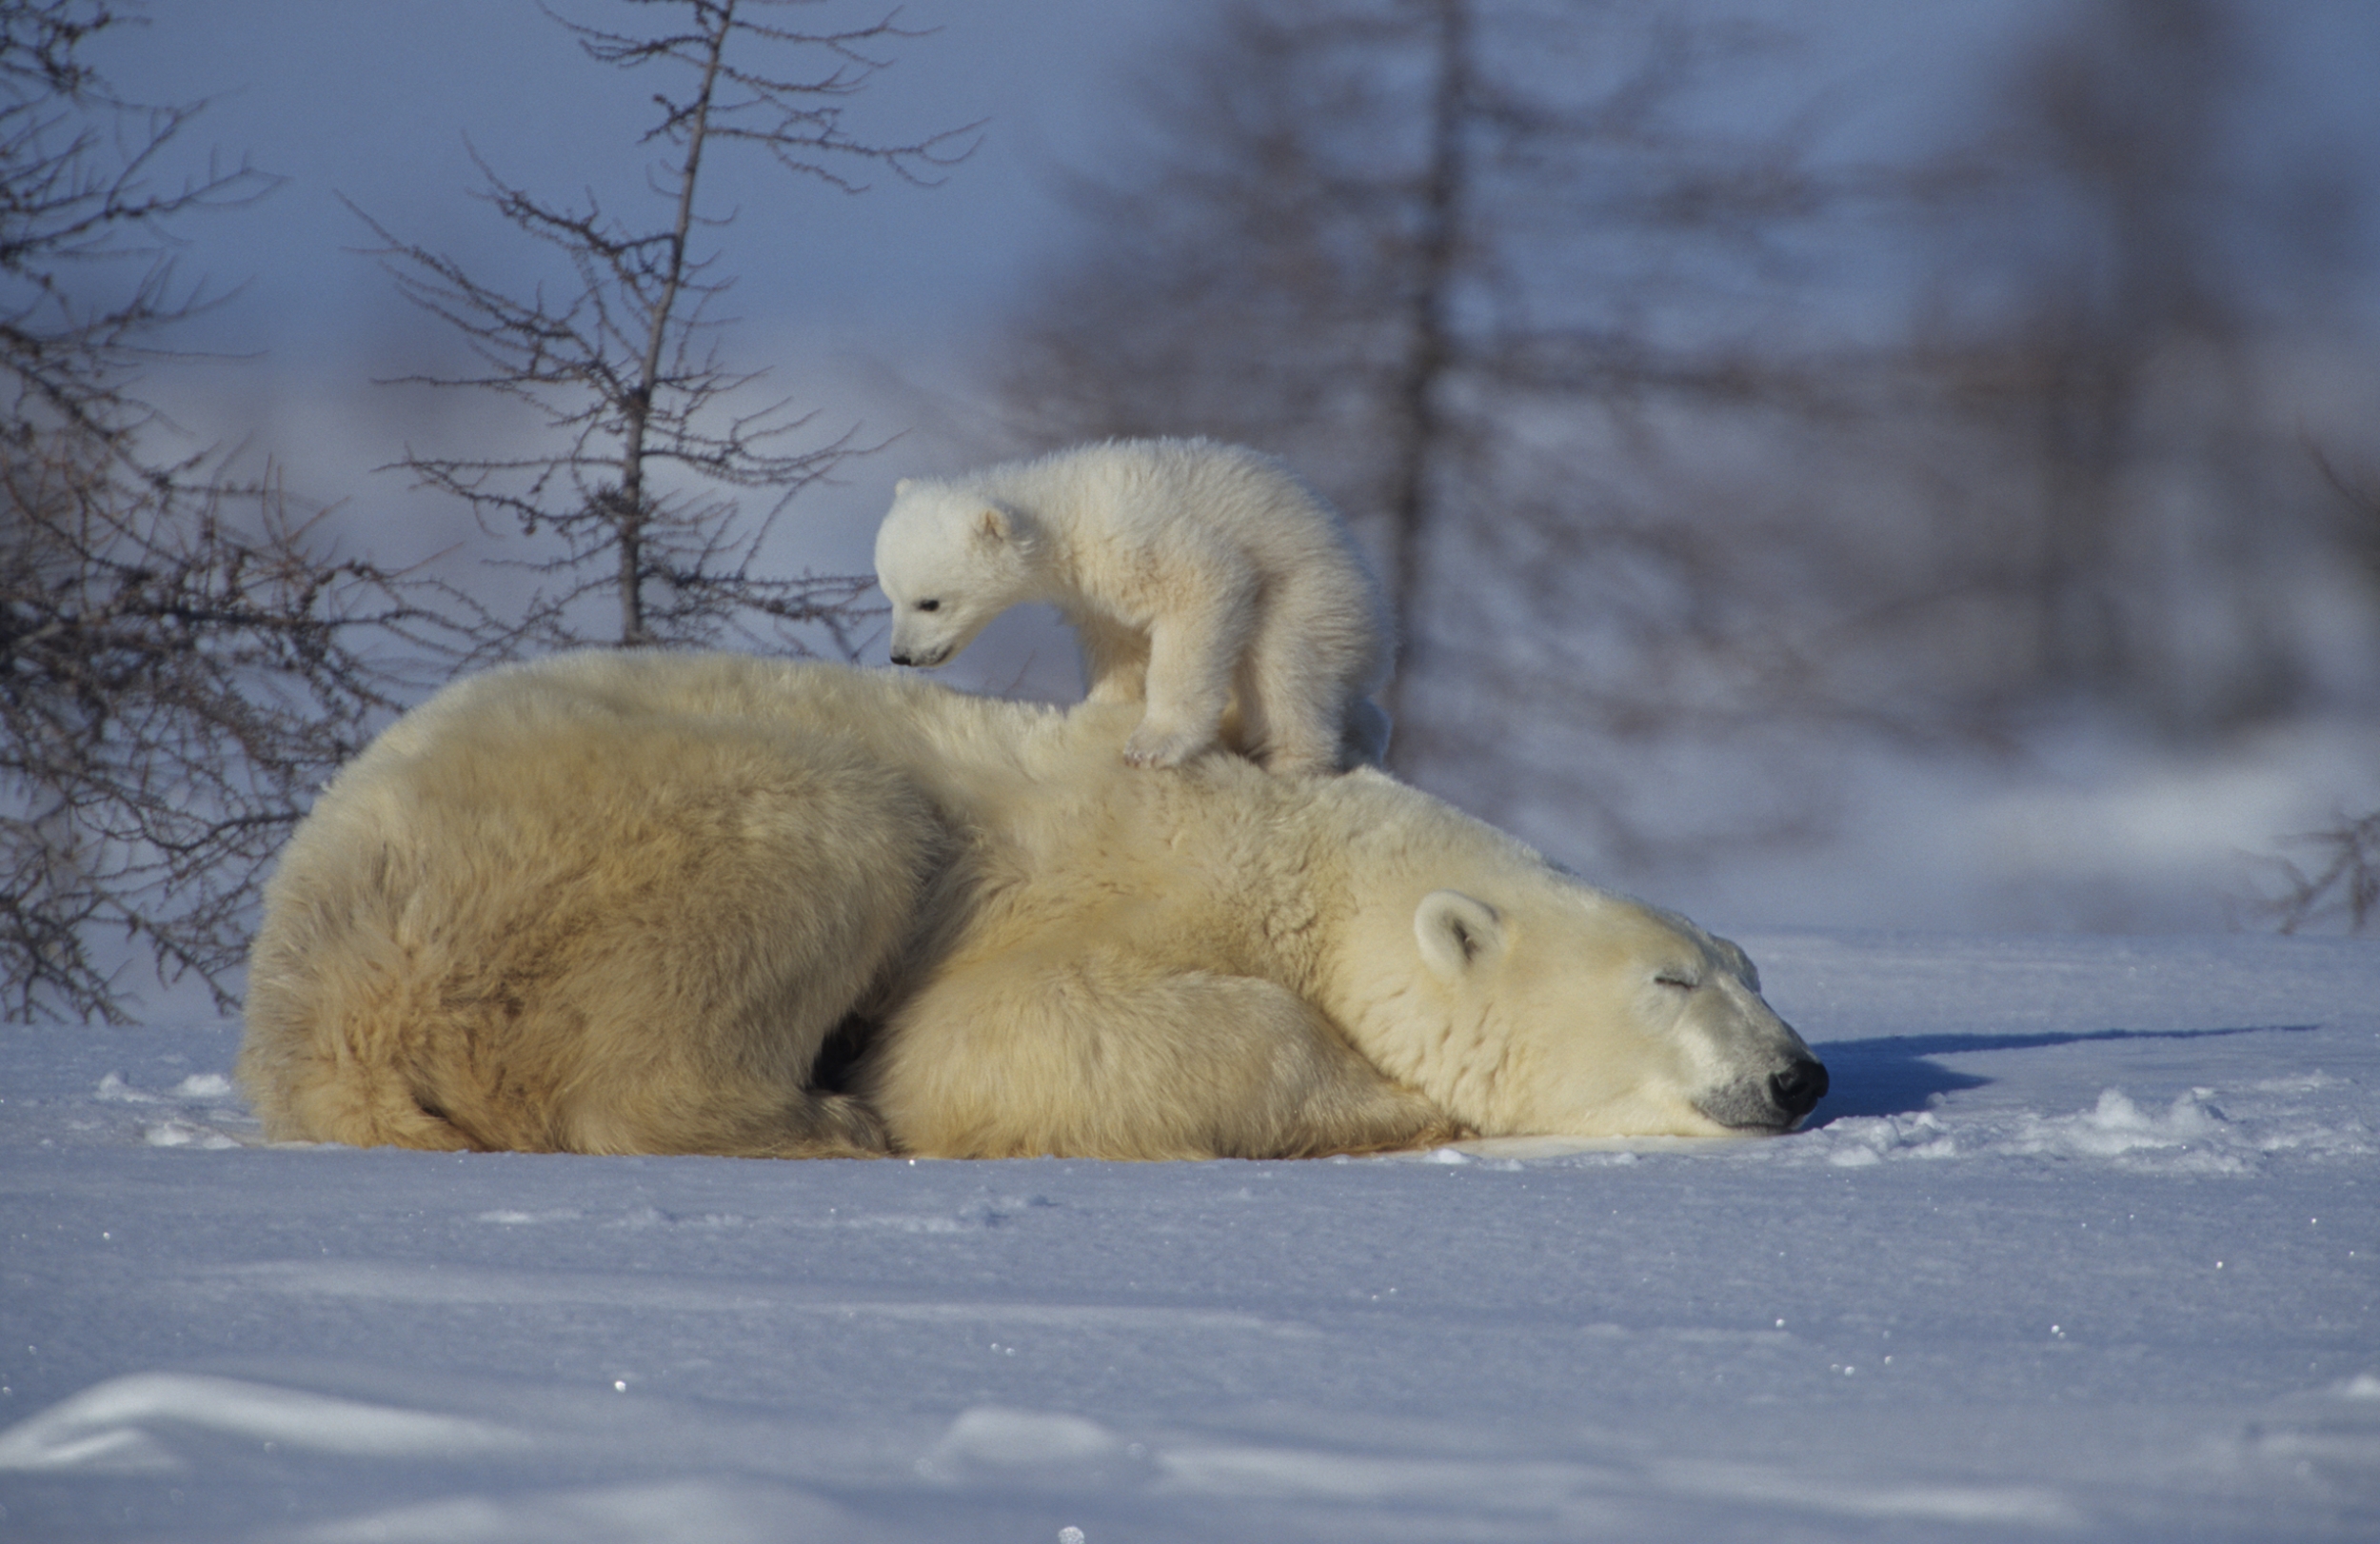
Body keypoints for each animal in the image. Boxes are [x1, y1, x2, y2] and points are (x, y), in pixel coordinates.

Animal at [236, 651, 1818, 1156]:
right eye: (1673, 979)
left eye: (1754, 964)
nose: (1797, 1075)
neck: (1291, 850)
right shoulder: (1107, 884)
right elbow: (1004, 1041)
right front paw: (1390, 1099)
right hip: (596, 833)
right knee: (829, 830)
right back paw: (817, 1120)